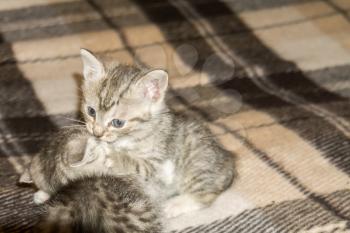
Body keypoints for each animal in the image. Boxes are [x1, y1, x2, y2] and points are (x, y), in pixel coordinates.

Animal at [76, 48, 235, 218]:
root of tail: (229, 161)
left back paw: (173, 205)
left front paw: (112, 154)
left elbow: (138, 164)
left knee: (206, 195)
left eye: (118, 123)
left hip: (198, 161)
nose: (97, 133)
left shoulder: (159, 164)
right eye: (91, 111)